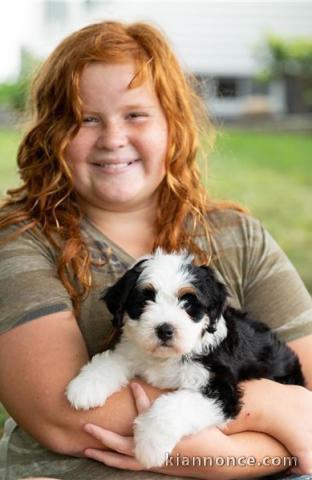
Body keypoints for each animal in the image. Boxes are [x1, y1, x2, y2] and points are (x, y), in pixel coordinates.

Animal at [66, 249, 304, 466]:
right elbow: (111, 360)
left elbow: (172, 407)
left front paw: (150, 447)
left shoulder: (219, 389)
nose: (164, 330)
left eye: (188, 303)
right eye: (145, 301)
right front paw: (85, 387)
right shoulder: (134, 350)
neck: (169, 357)